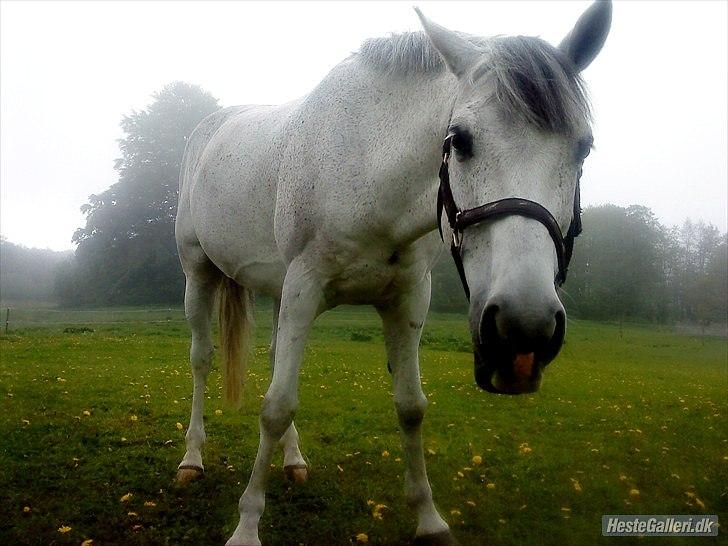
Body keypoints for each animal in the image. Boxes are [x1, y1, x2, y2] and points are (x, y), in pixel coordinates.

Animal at [173, 2, 612, 540]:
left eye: (583, 148)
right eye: (459, 141)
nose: (523, 331)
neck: (369, 167)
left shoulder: (405, 299)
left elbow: (410, 406)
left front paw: (429, 518)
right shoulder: (303, 289)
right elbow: (276, 406)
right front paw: (247, 525)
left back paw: (293, 460)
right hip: (199, 273)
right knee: (201, 358)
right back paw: (192, 459)